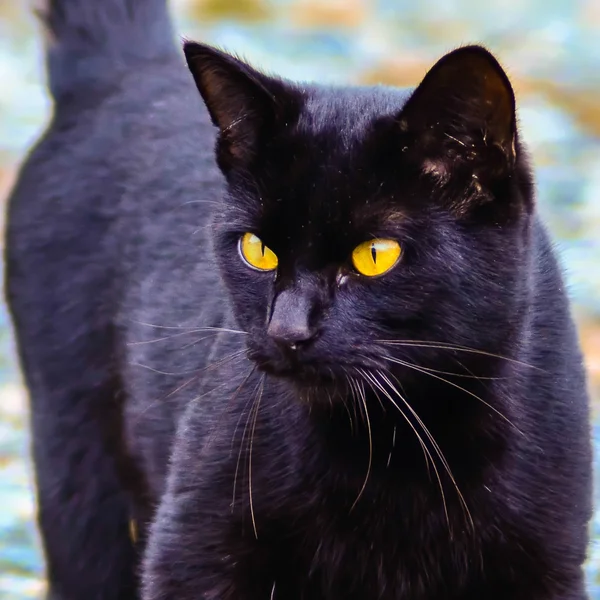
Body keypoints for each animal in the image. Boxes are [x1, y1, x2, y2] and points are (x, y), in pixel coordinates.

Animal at [7, 1, 592, 600]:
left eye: (375, 255)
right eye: (256, 249)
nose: (287, 330)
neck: (391, 451)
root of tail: (120, 72)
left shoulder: (543, 564)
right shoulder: (191, 552)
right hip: (79, 474)